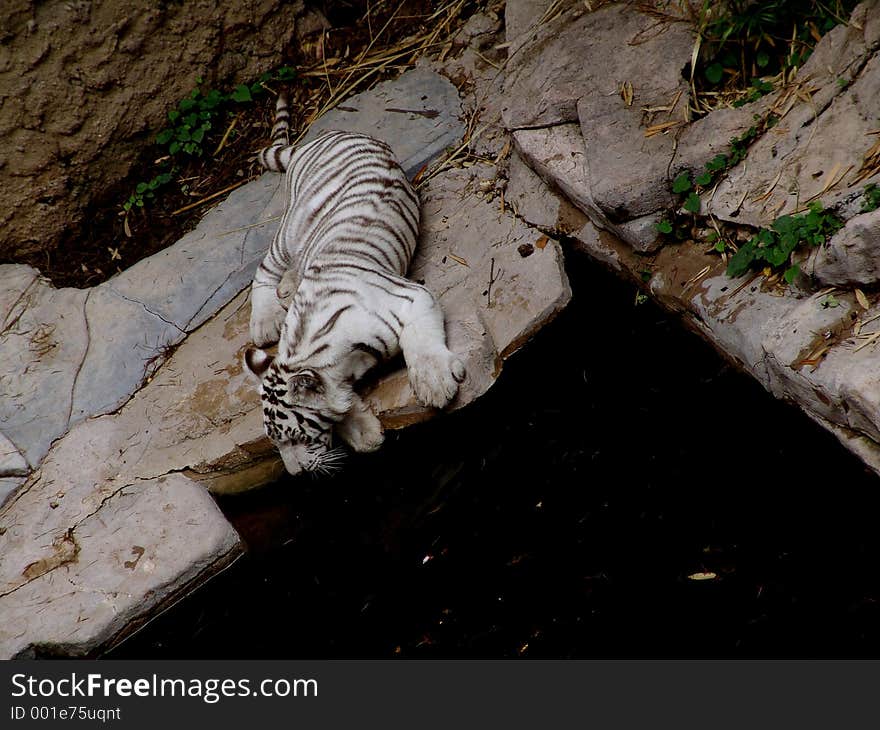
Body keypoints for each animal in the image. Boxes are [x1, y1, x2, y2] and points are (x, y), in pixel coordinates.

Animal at [244, 94, 464, 474]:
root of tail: (313, 141)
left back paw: (271, 310)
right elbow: (340, 406)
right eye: (274, 441)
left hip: (290, 227)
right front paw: (364, 433)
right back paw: (274, 306)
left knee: (265, 268)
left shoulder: (413, 296)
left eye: (295, 437)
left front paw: (434, 383)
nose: (295, 473)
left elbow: (421, 342)